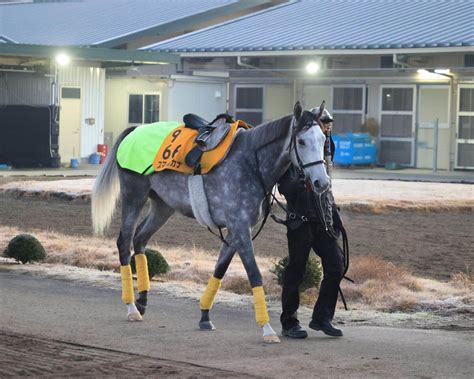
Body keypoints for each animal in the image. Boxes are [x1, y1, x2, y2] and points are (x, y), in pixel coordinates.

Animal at [92, 101, 330, 344]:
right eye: (301, 141)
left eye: (323, 139)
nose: (322, 182)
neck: (249, 163)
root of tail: (135, 130)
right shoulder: (240, 228)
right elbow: (254, 274)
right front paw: (267, 329)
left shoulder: (237, 230)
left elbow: (220, 269)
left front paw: (205, 316)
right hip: (134, 196)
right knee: (125, 242)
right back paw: (131, 307)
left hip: (163, 205)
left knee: (140, 238)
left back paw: (142, 301)